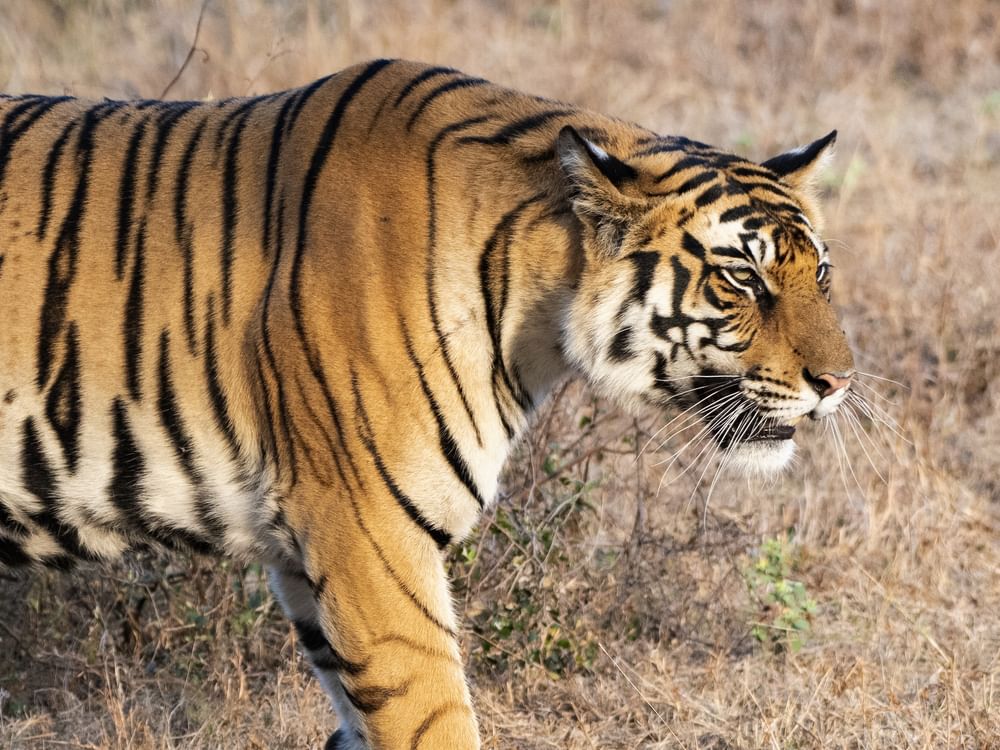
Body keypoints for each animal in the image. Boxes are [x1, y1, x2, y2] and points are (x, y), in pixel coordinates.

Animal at [0, 59, 854, 749]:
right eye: (742, 278)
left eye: (818, 274)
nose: (840, 382)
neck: (535, 308)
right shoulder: (368, 536)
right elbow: (437, 721)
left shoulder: (309, 562)